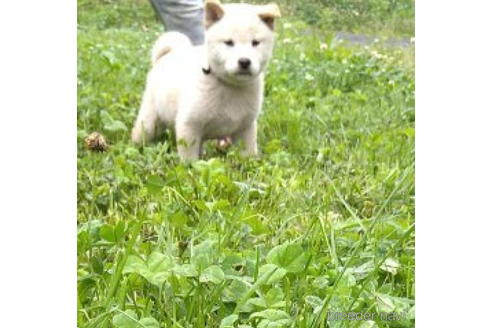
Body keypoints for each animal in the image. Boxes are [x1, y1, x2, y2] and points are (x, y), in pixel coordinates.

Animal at [132, 0, 280, 159]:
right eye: (229, 42)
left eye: (255, 42)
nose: (244, 61)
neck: (229, 86)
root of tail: (167, 54)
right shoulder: (189, 125)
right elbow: (189, 158)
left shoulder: (245, 128)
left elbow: (247, 154)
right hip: (149, 120)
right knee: (141, 133)